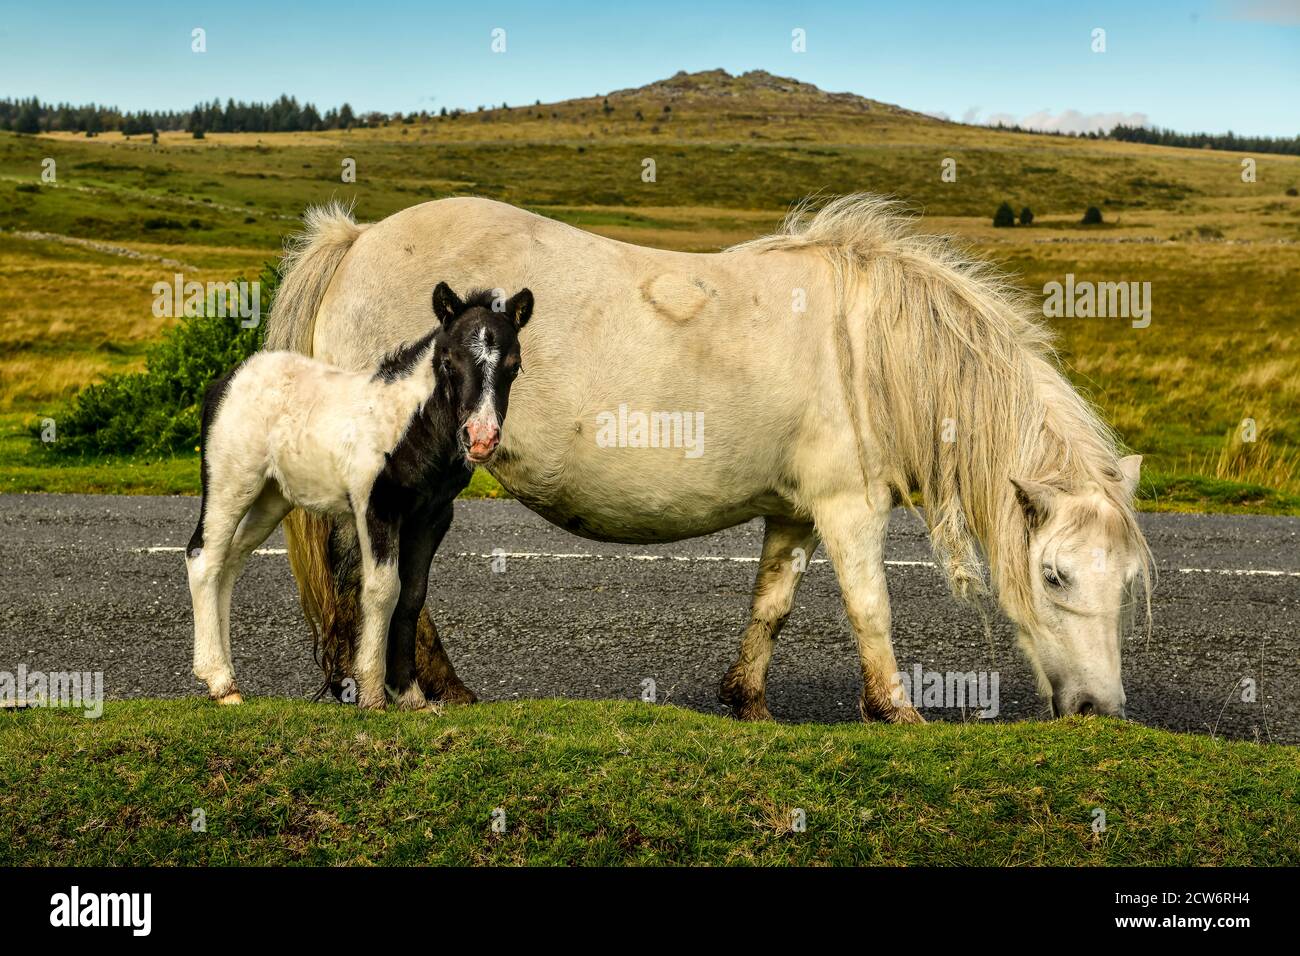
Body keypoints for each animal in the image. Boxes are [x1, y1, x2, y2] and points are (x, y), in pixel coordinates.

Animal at [186, 277, 532, 710]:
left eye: (513, 365)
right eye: (448, 361)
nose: (481, 439)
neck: (407, 422)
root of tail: (226, 382)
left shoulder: (433, 516)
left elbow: (412, 596)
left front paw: (411, 697)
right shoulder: (376, 507)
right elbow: (383, 589)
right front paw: (371, 694)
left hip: (270, 497)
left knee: (230, 563)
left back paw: (229, 682)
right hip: (231, 482)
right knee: (205, 559)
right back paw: (219, 681)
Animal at [266, 194, 1152, 723]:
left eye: (1124, 582)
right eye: (1054, 576)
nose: (1100, 712)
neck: (873, 350)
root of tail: (356, 239)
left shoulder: (796, 513)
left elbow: (773, 607)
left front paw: (748, 702)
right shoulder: (850, 505)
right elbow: (872, 608)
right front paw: (895, 710)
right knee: (382, 581)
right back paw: (419, 689)